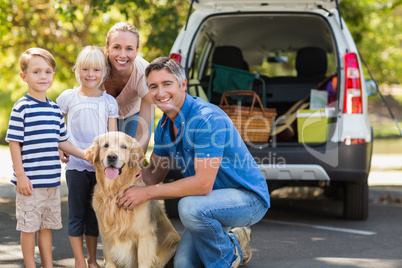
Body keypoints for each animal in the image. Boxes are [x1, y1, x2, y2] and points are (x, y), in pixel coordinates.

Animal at [85, 131, 180, 266]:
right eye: (105, 145)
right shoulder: (106, 237)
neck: (115, 191)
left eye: (124, 147)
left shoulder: (144, 236)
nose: (112, 157)